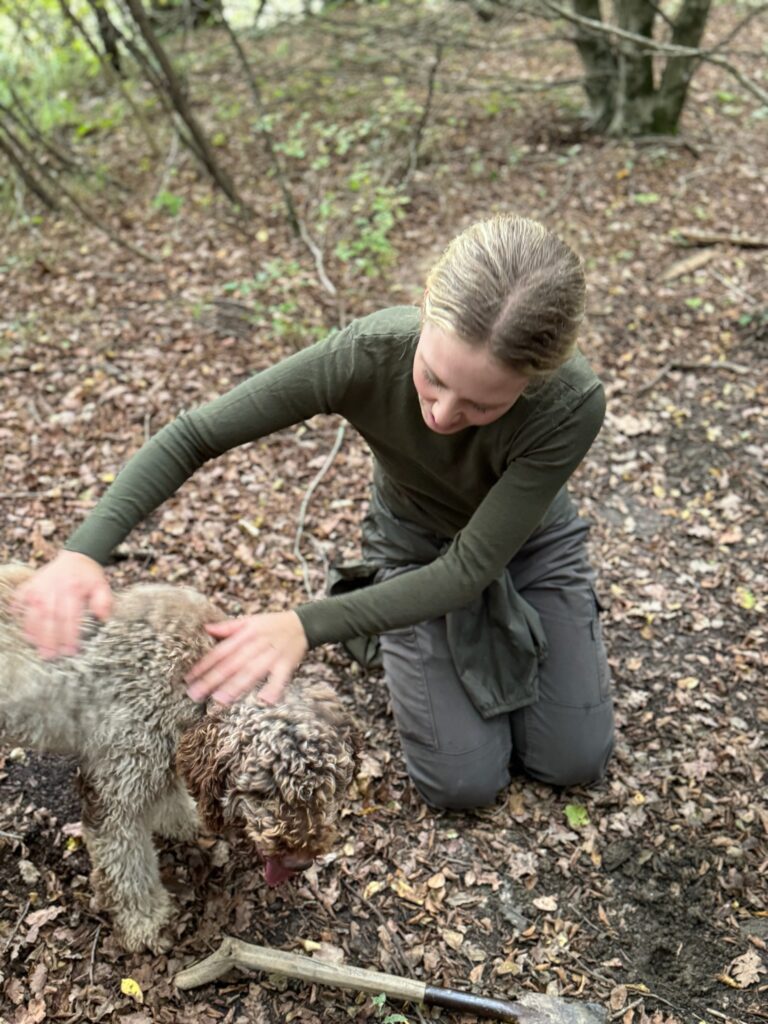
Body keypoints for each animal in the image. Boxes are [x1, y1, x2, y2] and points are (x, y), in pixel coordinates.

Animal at [0, 565, 354, 946]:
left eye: (328, 789)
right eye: (261, 794)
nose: (299, 862)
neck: (191, 667)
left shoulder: (163, 752)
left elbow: (170, 796)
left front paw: (184, 822)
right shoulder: (117, 789)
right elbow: (126, 865)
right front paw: (145, 922)